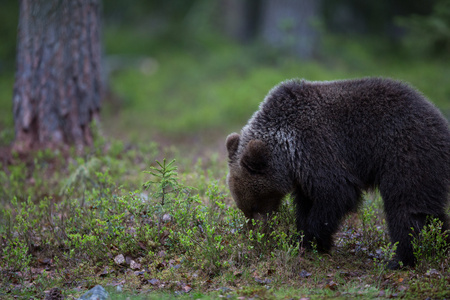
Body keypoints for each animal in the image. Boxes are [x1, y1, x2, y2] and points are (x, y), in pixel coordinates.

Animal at [227, 77, 448, 268]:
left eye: (255, 205)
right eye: (244, 209)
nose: (257, 236)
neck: (288, 150)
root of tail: (439, 117)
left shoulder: (318, 147)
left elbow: (336, 194)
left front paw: (310, 241)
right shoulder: (304, 174)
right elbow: (306, 203)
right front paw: (303, 239)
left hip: (405, 151)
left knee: (406, 206)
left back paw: (401, 259)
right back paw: (438, 245)